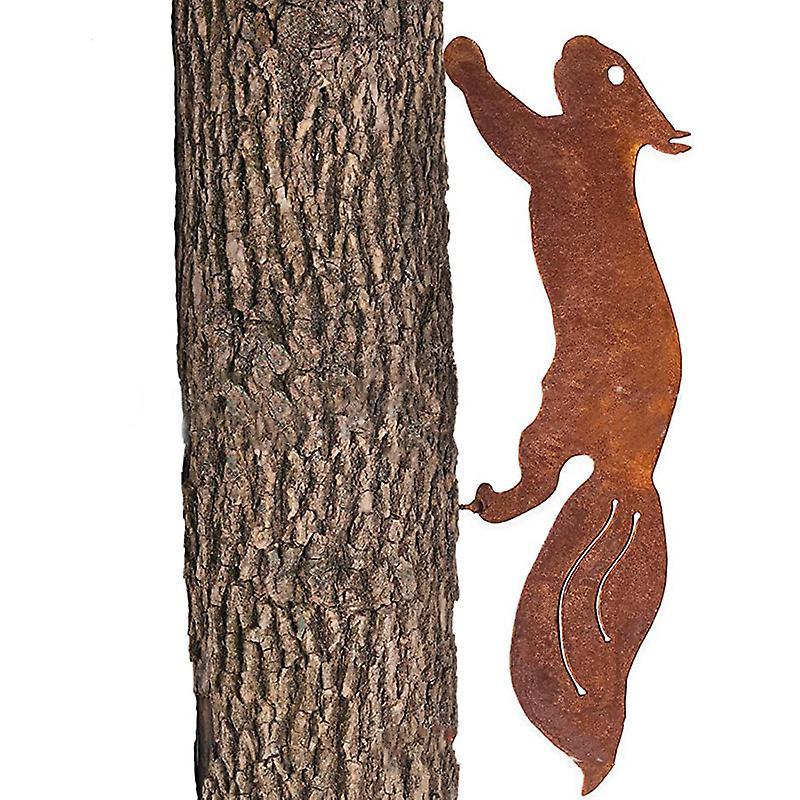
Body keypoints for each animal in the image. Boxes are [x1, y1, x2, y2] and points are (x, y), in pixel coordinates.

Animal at [445, 35, 688, 794]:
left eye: (614, 72)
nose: (576, 40)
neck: (611, 149)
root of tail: (632, 471)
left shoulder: (556, 151)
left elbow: (509, 127)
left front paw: (463, 57)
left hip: (552, 417)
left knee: (539, 482)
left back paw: (485, 501)